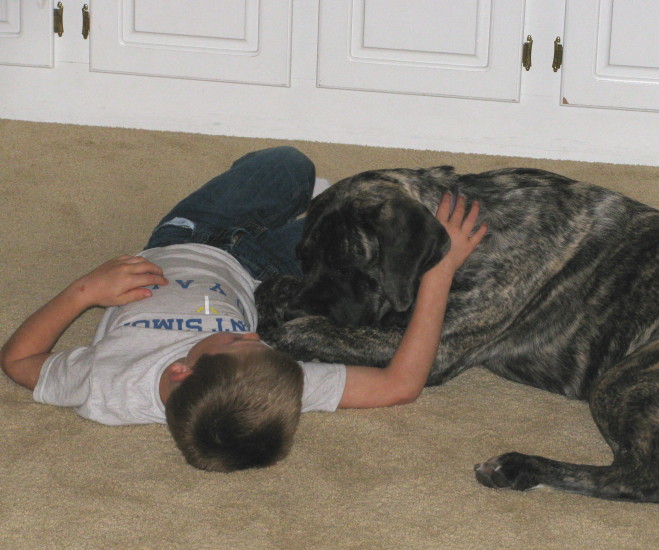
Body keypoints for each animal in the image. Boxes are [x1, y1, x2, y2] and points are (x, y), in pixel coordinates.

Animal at [255, 165, 659, 503]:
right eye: (303, 257)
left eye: (346, 266)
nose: (297, 308)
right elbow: (278, 285)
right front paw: (273, 297)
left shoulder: (434, 349)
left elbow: (318, 331)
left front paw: (283, 330)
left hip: (619, 379)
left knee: (639, 478)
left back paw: (517, 467)